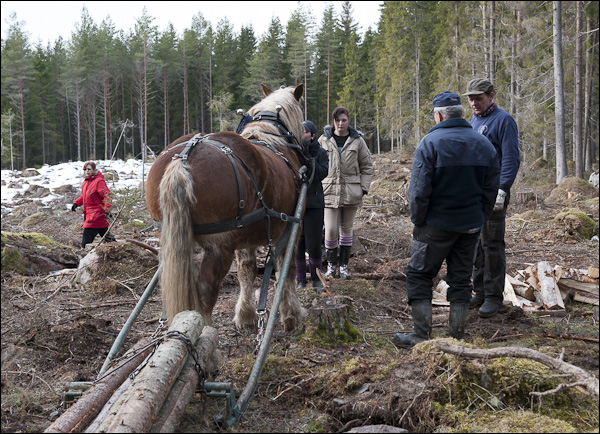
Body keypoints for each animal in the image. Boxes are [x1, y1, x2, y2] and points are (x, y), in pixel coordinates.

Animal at [144, 83, 308, 330]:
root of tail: (182, 159)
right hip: (219, 246)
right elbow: (286, 270)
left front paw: (246, 315)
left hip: (170, 239)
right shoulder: (291, 229)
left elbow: (247, 270)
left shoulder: (246, 236)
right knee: (205, 291)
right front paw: (292, 315)